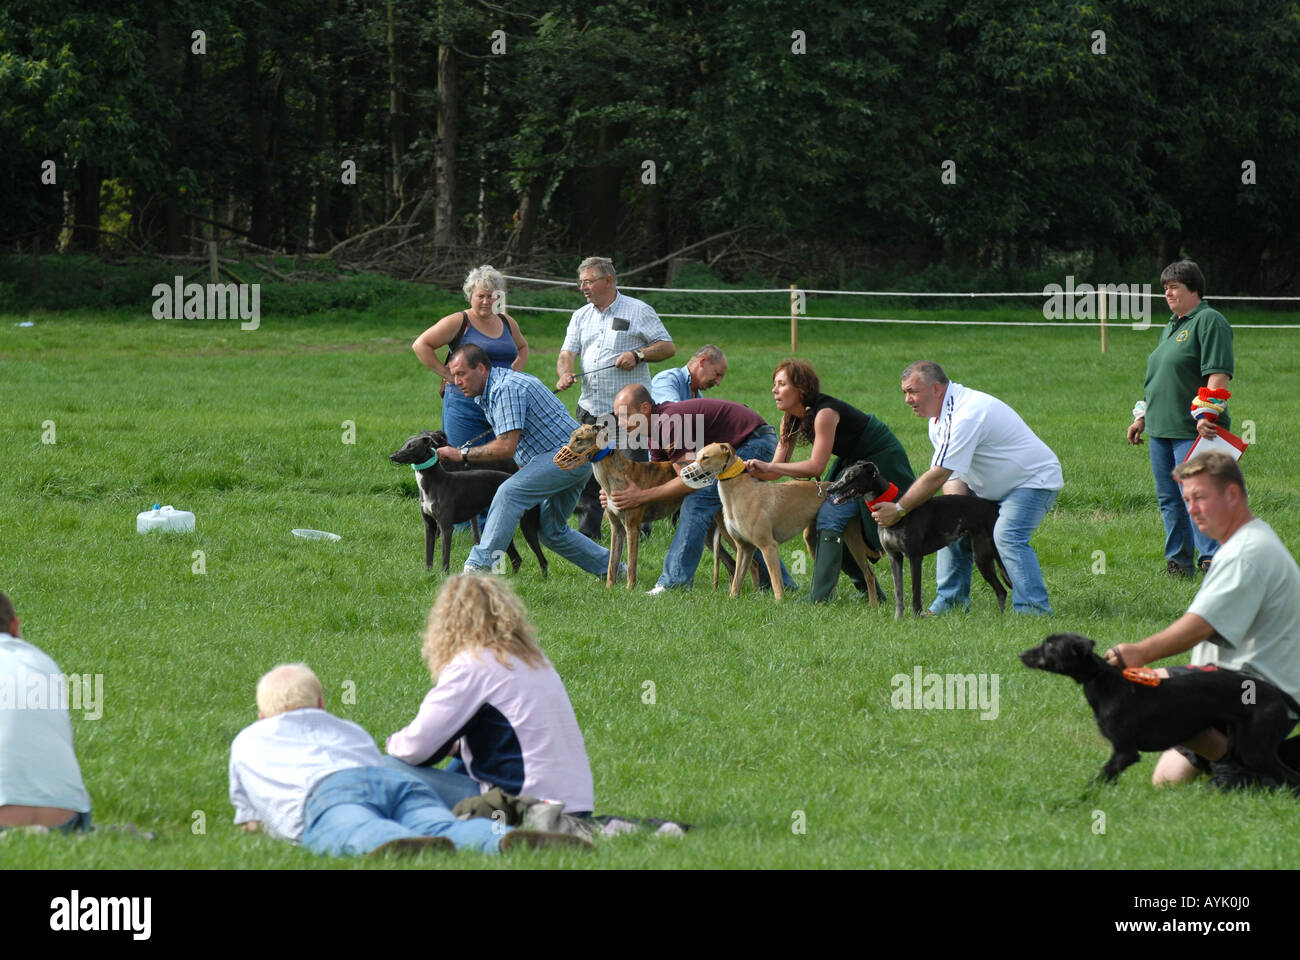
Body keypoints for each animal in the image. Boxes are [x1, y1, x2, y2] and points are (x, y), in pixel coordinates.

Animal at [387, 429, 546, 574]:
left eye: (411, 446)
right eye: (404, 444)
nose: (392, 456)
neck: (435, 481)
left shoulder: (446, 527)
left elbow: (445, 557)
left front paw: (443, 576)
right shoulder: (429, 526)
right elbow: (429, 555)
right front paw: (428, 574)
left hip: (527, 526)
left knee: (542, 560)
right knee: (516, 559)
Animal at [826, 460, 1008, 616]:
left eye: (852, 476)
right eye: (843, 474)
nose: (830, 489)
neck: (891, 503)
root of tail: (994, 507)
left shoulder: (914, 556)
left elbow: (915, 591)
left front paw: (916, 618)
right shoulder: (894, 557)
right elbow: (898, 592)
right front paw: (898, 619)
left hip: (996, 555)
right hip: (982, 558)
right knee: (1002, 591)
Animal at [1019, 629, 1294, 785]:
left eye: (1050, 645)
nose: (1021, 655)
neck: (1102, 679)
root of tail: (1278, 693)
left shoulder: (1125, 752)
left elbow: (1097, 781)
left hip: (1255, 749)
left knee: (1290, 777)